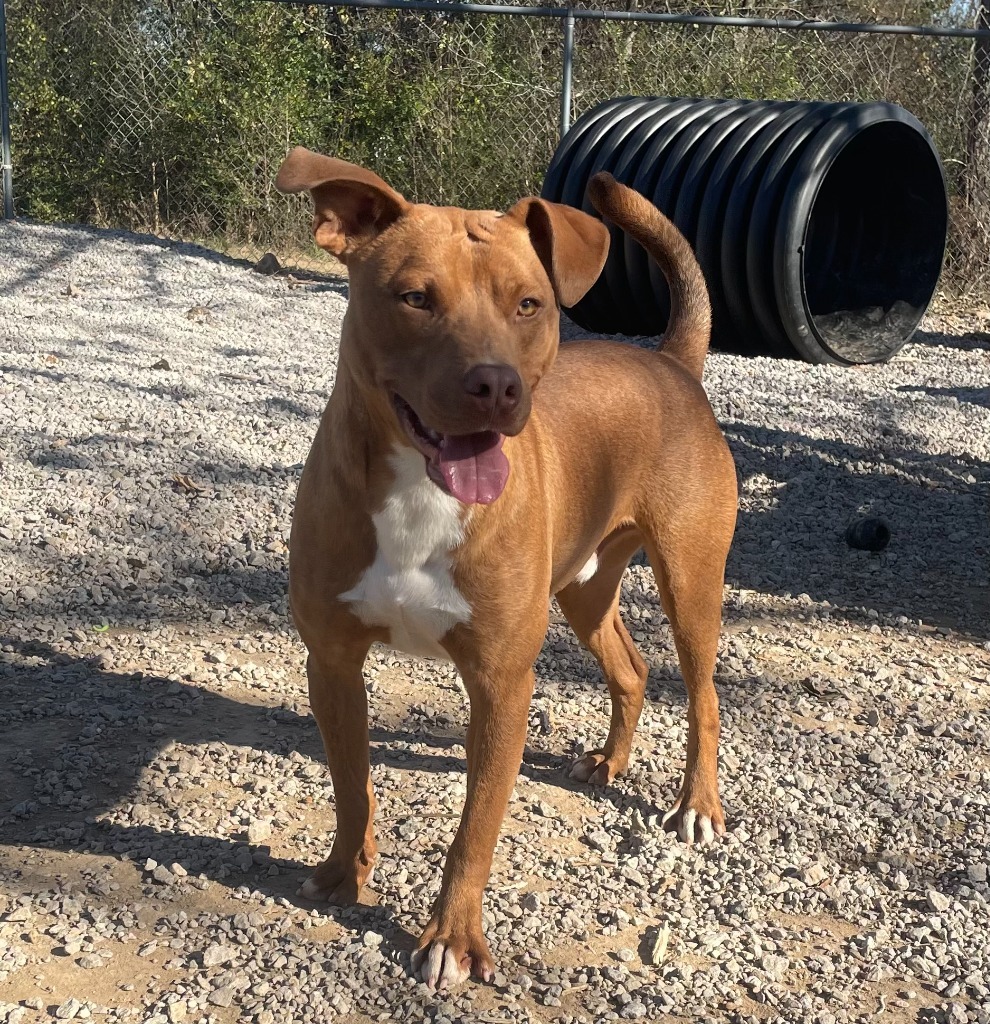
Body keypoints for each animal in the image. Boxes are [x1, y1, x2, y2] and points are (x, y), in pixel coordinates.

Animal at [274, 151, 741, 991]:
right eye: (415, 298)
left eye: (529, 304)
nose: (495, 385)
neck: (421, 491)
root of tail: (668, 362)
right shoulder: (331, 660)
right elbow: (352, 786)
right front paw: (342, 873)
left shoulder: (500, 683)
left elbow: (476, 827)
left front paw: (451, 938)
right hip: (586, 588)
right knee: (631, 669)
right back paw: (610, 761)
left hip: (691, 581)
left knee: (704, 697)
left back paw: (697, 805)